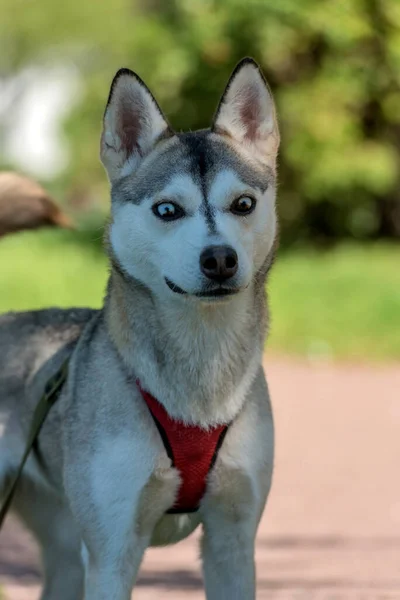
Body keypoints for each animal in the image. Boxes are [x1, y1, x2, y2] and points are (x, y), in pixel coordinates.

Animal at [0, 57, 280, 600]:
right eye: (167, 209)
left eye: (243, 204)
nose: (219, 259)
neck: (200, 384)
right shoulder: (112, 553)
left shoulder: (233, 541)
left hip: (63, 551)